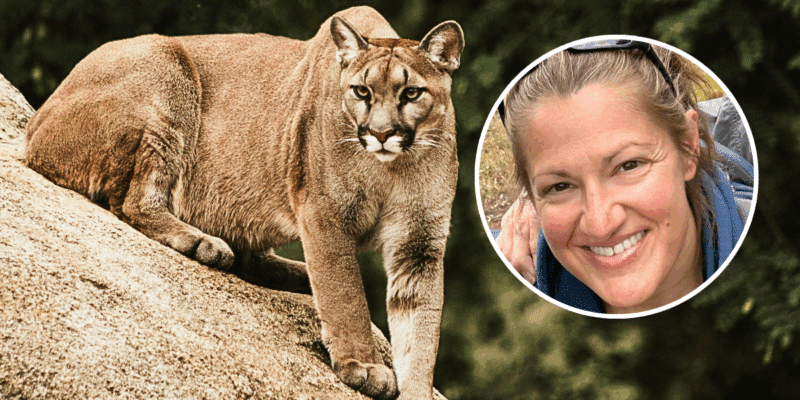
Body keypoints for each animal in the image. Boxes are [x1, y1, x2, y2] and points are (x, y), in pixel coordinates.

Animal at [24, 6, 463, 400]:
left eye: (411, 93)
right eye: (361, 91)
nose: (381, 133)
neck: (393, 168)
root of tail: (34, 125)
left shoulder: (419, 245)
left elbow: (420, 331)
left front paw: (412, 387)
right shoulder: (325, 215)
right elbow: (345, 295)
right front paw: (365, 366)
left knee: (250, 256)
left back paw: (291, 273)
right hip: (166, 72)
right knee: (134, 201)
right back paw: (202, 243)